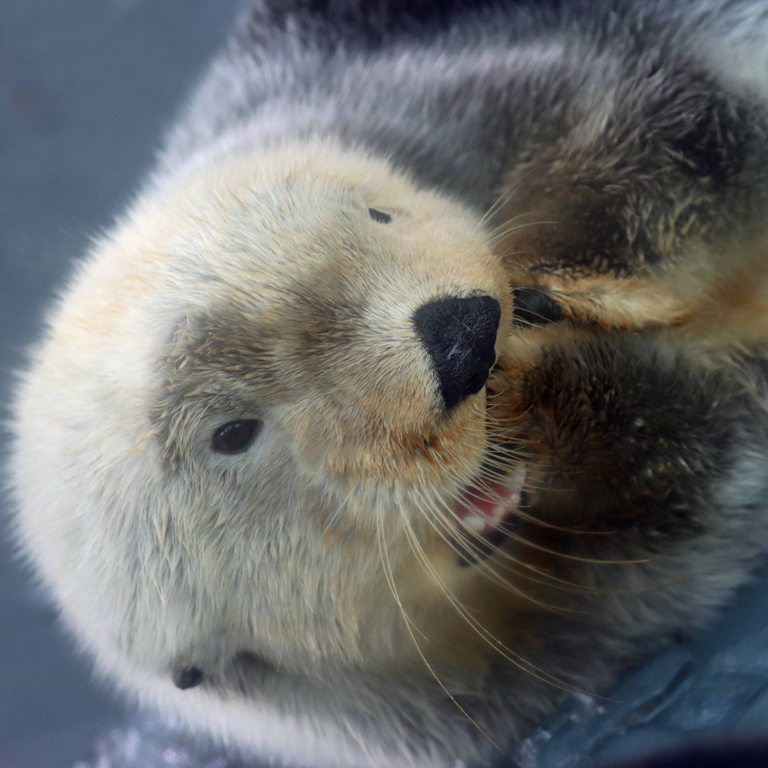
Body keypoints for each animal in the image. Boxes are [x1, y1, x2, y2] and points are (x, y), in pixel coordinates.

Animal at [9, 2, 768, 767]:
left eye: (376, 212)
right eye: (232, 433)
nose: (464, 338)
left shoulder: (483, 89)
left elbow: (661, 121)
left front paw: (572, 282)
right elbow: (698, 448)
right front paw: (541, 391)